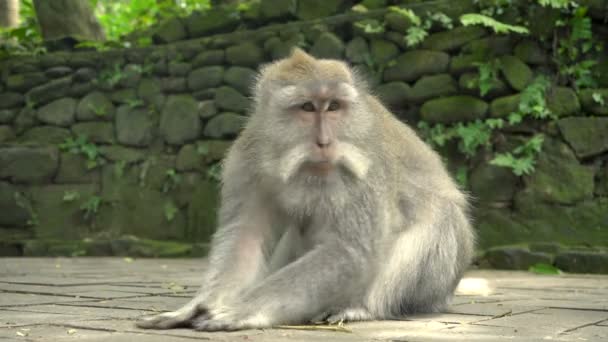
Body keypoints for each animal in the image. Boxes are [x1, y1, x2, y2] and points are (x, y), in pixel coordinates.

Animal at [137, 48, 476, 332]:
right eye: (308, 107)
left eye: (334, 106)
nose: (325, 142)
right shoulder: (246, 159)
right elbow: (244, 239)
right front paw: (198, 306)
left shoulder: (365, 167)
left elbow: (350, 251)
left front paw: (243, 309)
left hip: (438, 280)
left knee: (438, 222)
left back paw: (361, 307)